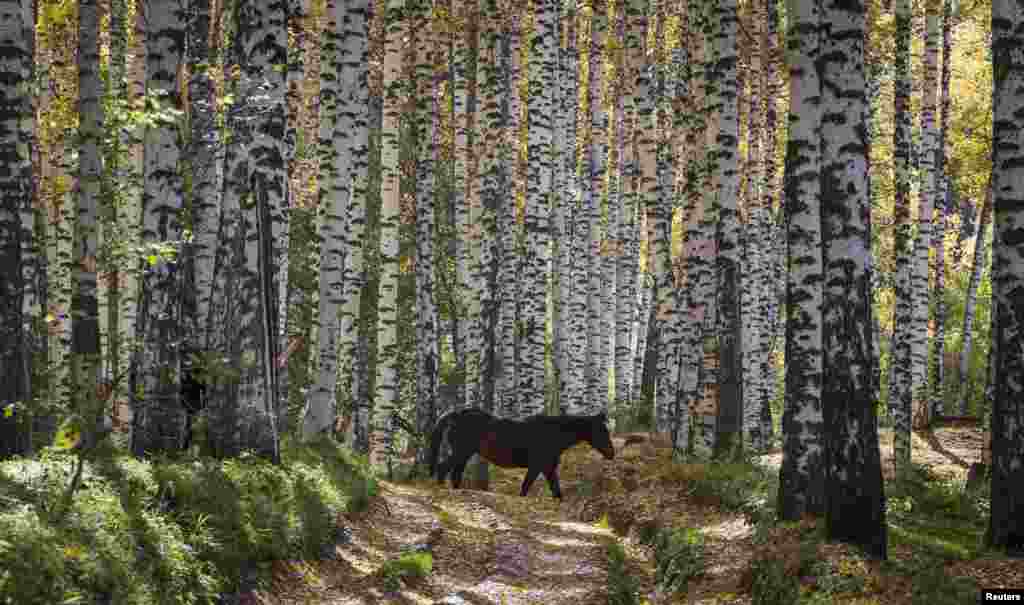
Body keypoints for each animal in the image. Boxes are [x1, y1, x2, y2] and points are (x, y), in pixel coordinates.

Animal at [428, 408, 615, 499]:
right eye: (602, 431)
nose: (611, 453)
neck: (554, 432)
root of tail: (455, 414)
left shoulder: (547, 468)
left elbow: (555, 490)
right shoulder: (539, 466)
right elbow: (526, 487)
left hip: (464, 454)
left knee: (455, 473)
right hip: (461, 452)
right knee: (443, 468)